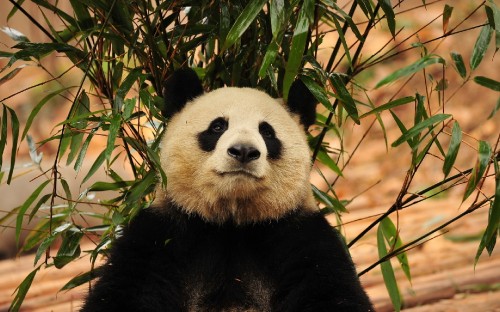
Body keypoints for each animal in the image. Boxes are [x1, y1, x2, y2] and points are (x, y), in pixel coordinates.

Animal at [81, 69, 372, 312]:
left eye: (267, 133)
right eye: (218, 126)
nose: (243, 151)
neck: (232, 221)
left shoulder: (300, 236)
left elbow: (332, 293)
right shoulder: (162, 235)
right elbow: (124, 291)